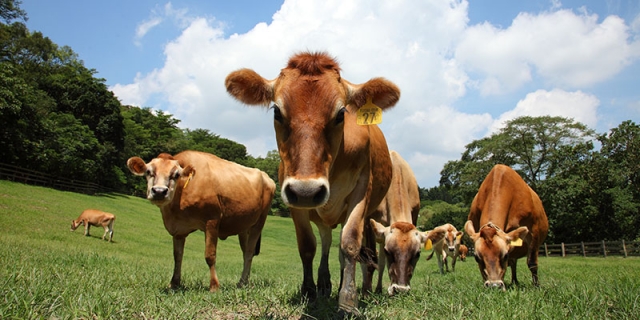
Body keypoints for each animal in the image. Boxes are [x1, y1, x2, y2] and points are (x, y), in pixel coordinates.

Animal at [126, 151, 274, 292]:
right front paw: (174, 283)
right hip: (243, 227)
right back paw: (244, 282)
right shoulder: (178, 230)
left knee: (249, 253)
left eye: (176, 174)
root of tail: (266, 176)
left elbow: (210, 255)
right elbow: (177, 256)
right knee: (245, 253)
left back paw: (241, 282)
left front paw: (214, 286)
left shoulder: (212, 220)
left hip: (259, 222)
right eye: (148, 172)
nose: (159, 191)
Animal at [226, 51, 400, 314]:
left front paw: (348, 300)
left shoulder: (362, 190)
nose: (307, 191)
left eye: (341, 113)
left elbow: (349, 243)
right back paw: (324, 284)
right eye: (277, 112)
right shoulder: (293, 196)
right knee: (326, 240)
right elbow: (308, 245)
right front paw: (308, 290)